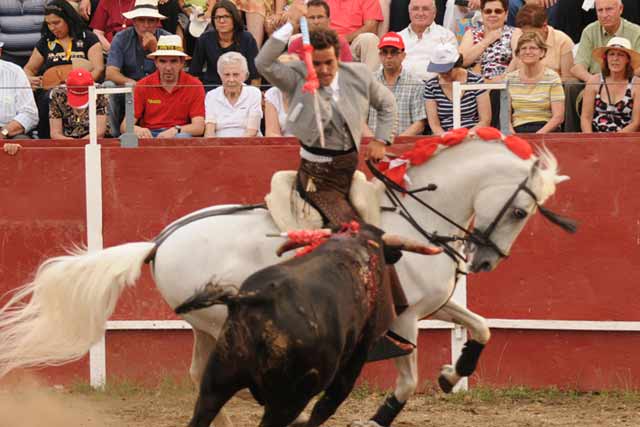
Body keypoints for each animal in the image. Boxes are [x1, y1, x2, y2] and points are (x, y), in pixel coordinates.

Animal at [178, 224, 442, 427]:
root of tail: (257, 299)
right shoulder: (356, 357)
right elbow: (327, 405)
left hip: (216, 382)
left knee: (202, 411)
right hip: (287, 400)